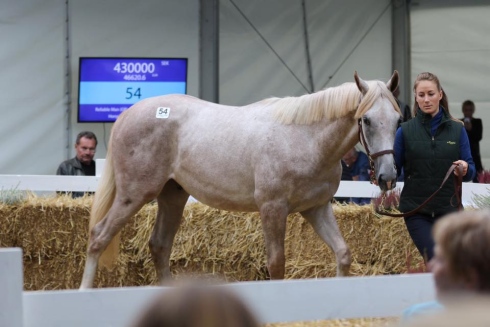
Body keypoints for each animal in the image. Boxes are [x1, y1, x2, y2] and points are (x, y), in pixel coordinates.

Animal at [80, 71, 402, 290]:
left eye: (398, 120)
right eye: (366, 120)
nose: (387, 176)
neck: (305, 138)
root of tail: (127, 114)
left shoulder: (316, 208)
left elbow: (343, 254)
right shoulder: (273, 209)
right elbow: (276, 263)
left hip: (173, 196)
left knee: (159, 246)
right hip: (134, 195)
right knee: (98, 236)